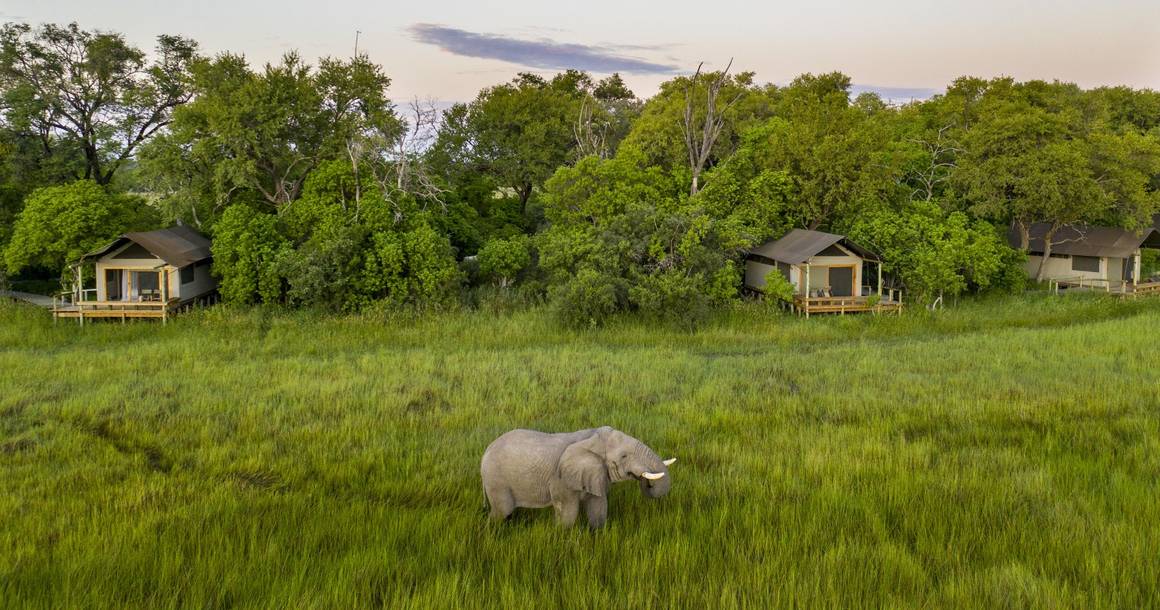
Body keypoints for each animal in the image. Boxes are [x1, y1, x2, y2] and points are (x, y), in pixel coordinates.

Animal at [480, 426, 676, 528]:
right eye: (624, 456)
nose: (645, 481)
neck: (591, 437)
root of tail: (486, 450)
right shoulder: (561, 480)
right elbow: (568, 513)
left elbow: (598, 507)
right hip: (495, 479)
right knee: (502, 511)